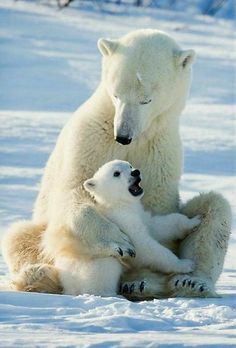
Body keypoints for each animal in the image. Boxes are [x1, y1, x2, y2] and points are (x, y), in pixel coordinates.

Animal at [1, 28, 230, 298]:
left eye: (146, 100)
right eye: (116, 94)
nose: (122, 135)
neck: (138, 135)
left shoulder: (161, 150)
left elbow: (156, 212)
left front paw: (147, 277)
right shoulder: (89, 138)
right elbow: (74, 191)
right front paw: (119, 241)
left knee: (216, 208)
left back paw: (184, 283)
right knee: (19, 237)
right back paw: (38, 275)